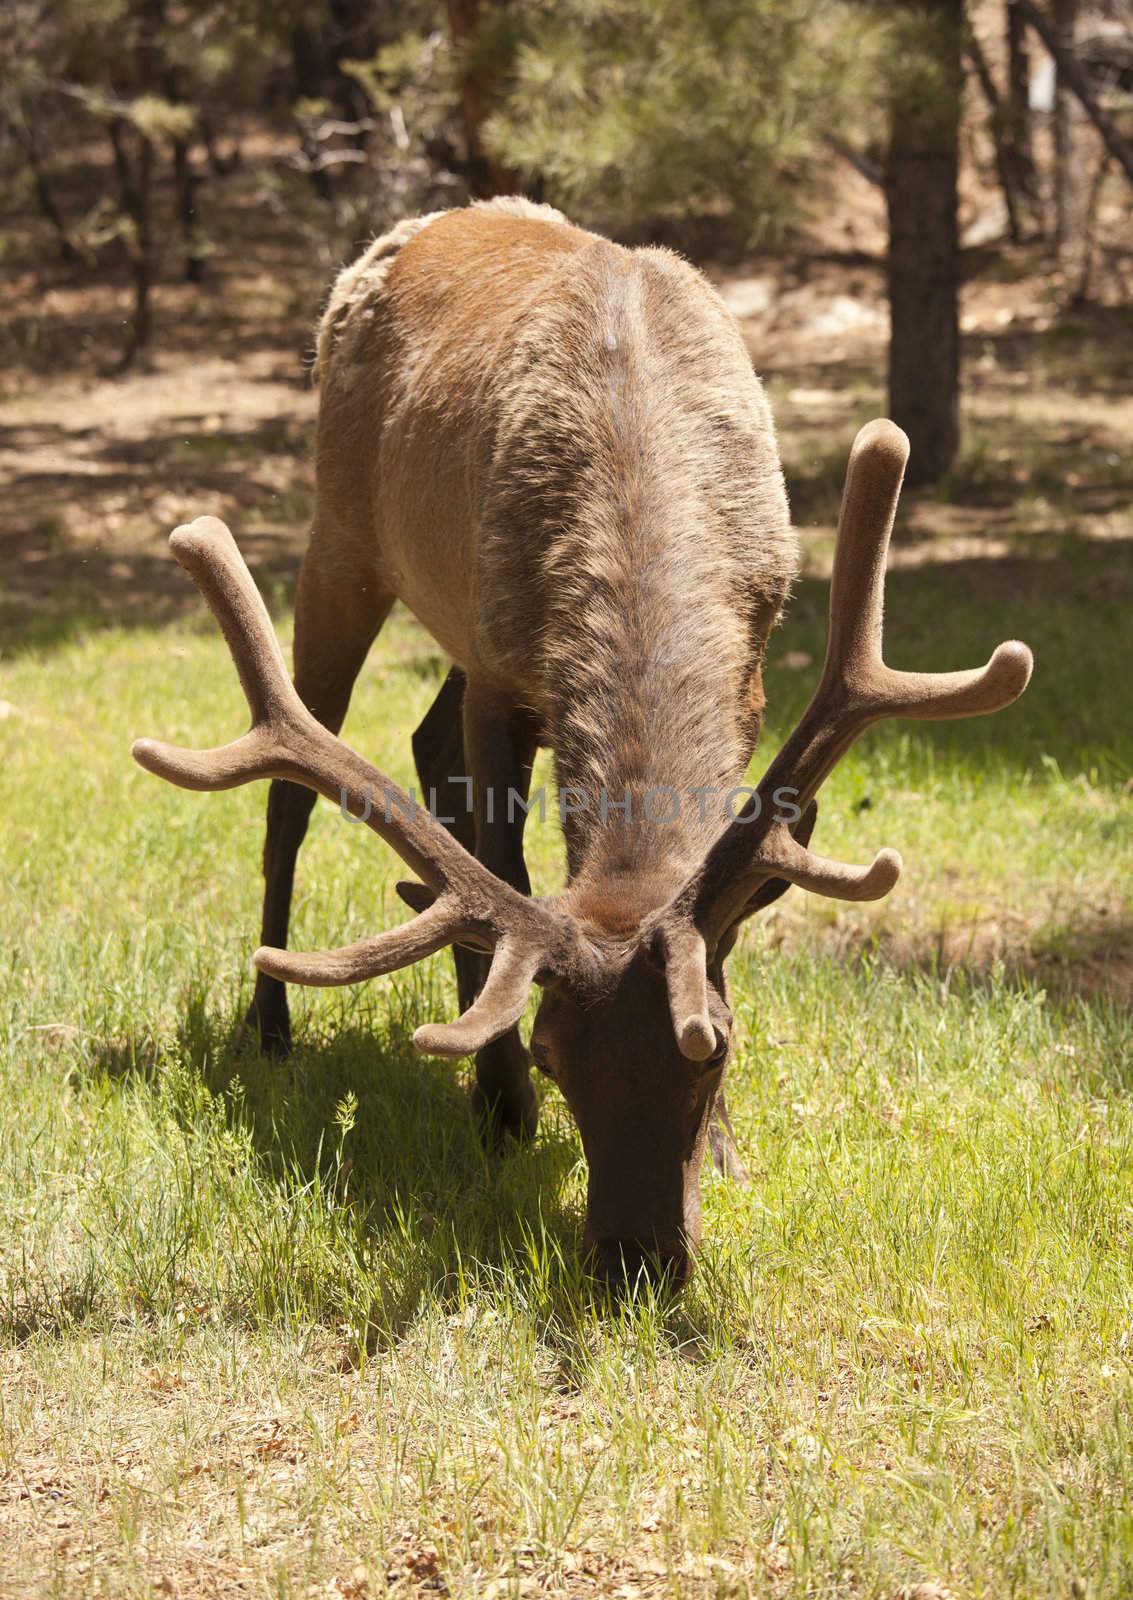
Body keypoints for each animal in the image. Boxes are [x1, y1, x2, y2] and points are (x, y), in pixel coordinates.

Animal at [128, 196, 1030, 1286]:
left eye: (712, 1046)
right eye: (553, 1052)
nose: (633, 1259)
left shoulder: (748, 673)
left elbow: (714, 906)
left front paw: (723, 1151)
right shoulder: (502, 664)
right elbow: (499, 855)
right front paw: (497, 1103)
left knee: (421, 741)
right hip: (340, 537)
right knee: (296, 792)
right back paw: (268, 1024)